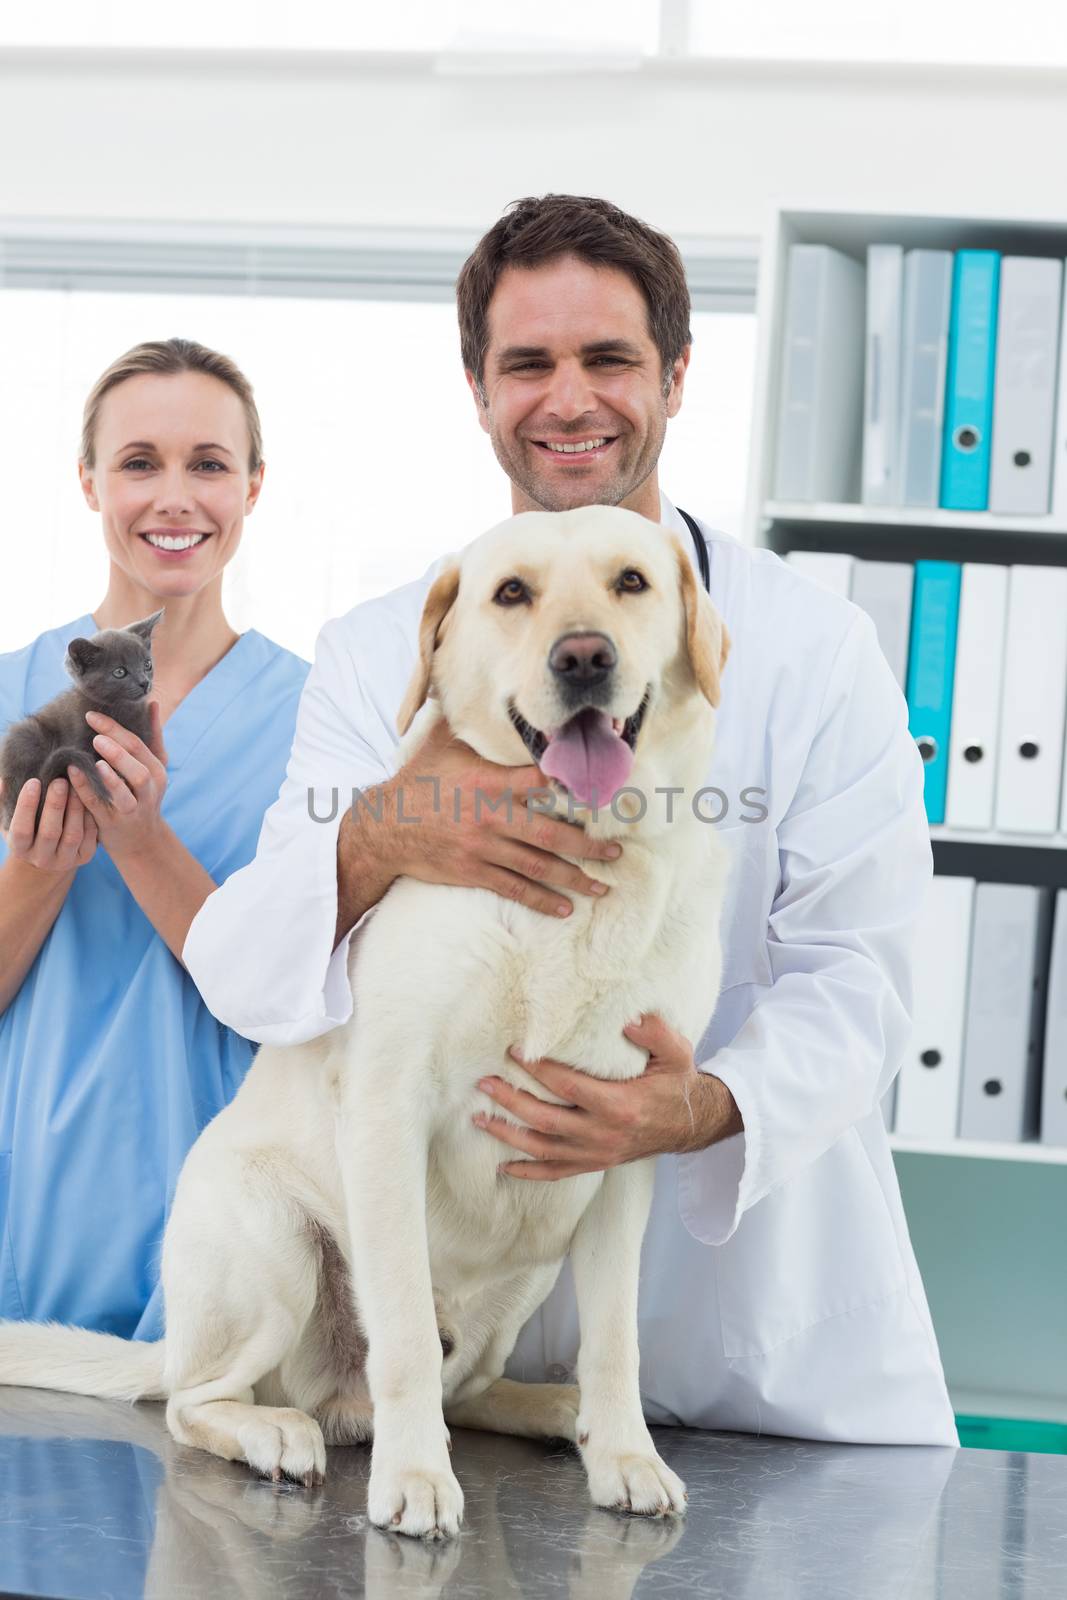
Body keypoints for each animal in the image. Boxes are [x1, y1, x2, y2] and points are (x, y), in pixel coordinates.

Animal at [0, 604, 164, 832]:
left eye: (147, 664)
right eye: (120, 672)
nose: (144, 682)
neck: (121, 711)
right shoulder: (78, 732)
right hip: (26, 733)